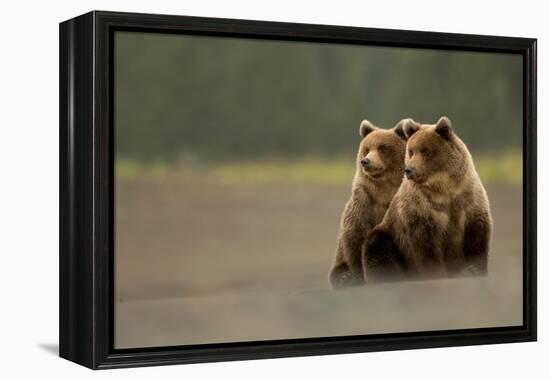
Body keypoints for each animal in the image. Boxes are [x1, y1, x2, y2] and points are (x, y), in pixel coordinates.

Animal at [328, 119, 410, 288]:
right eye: (366, 149)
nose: (366, 161)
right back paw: (344, 277)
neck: (384, 191)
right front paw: (357, 276)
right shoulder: (363, 202)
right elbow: (356, 237)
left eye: (383, 147)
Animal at [362, 116, 496, 282]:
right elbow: (426, 244)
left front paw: (474, 269)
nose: (409, 170)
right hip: (391, 237)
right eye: (411, 151)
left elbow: (477, 235)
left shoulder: (468, 197)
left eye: (426, 151)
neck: (444, 188)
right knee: (377, 247)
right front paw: (436, 273)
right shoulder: (421, 208)